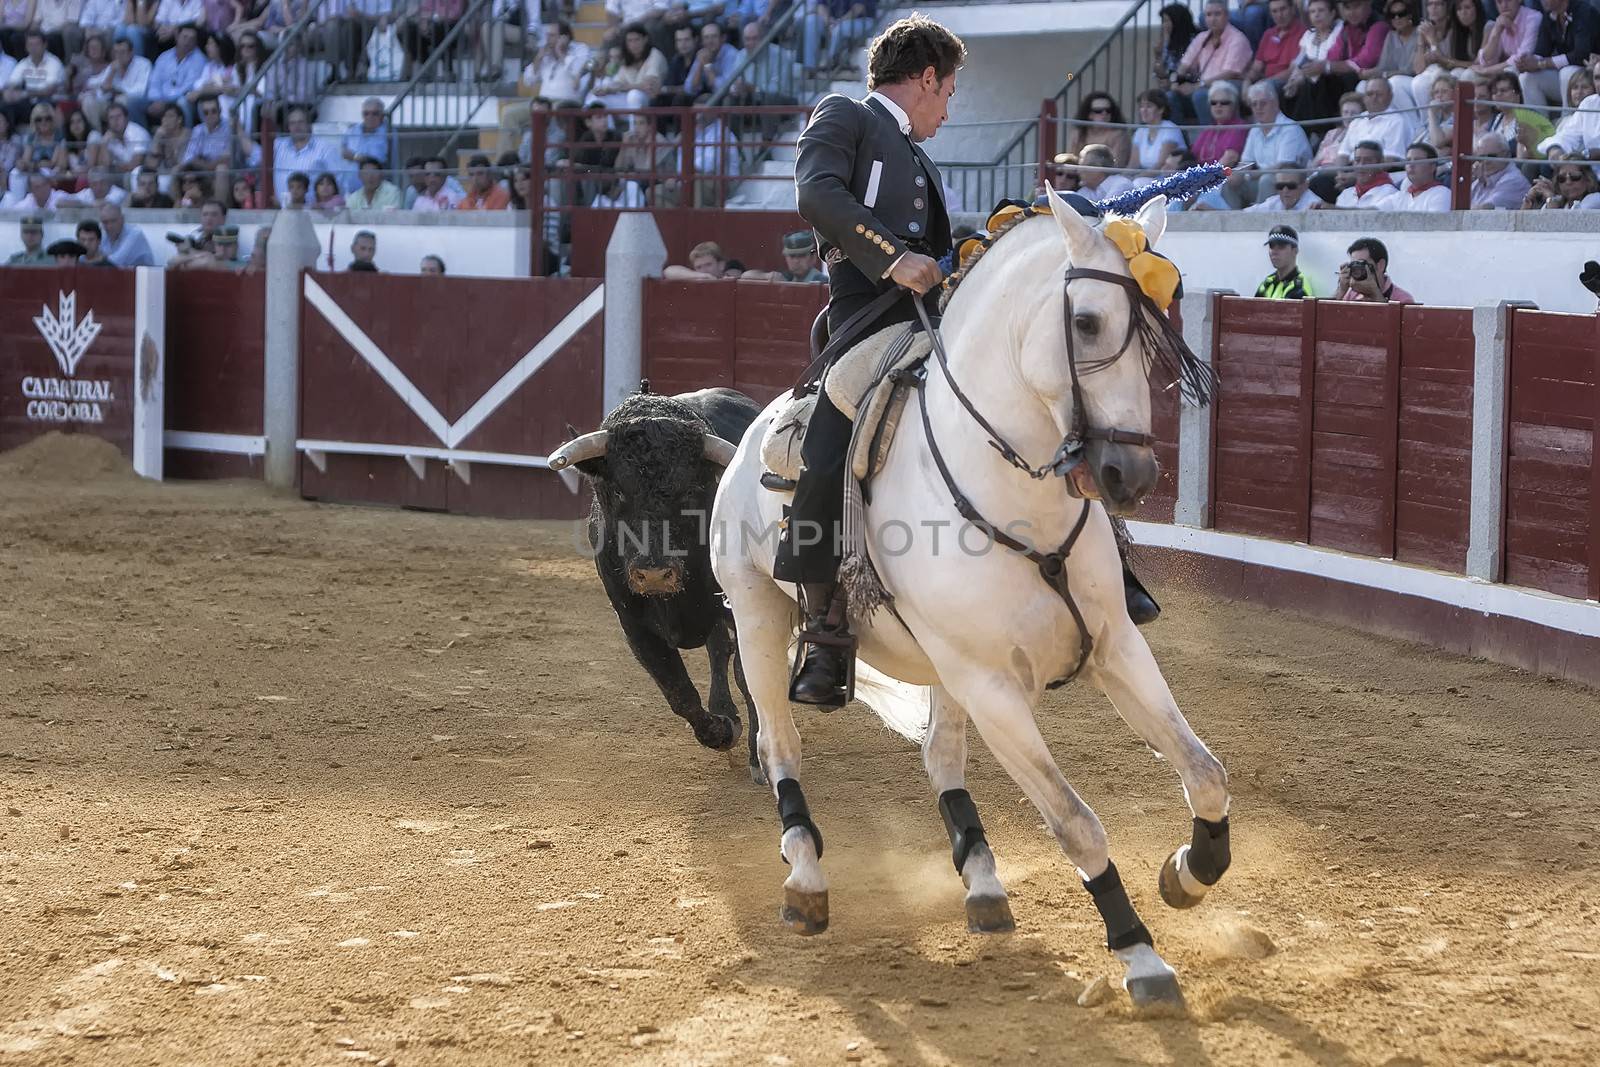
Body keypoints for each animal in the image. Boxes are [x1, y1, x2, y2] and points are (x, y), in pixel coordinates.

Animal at [553, 388, 764, 771]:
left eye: (690, 491)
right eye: (617, 492)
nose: (653, 573)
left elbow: (748, 674)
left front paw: (759, 754)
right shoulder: (634, 624)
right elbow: (678, 691)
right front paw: (721, 730)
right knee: (717, 650)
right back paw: (724, 711)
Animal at [713, 185, 1235, 1011]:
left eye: (1154, 337)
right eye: (1086, 322)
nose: (1132, 477)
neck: (1021, 499)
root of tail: (747, 437)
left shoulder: (1117, 644)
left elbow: (1205, 770)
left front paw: (1188, 873)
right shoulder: (992, 685)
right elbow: (1076, 821)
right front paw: (1139, 953)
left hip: (936, 665)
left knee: (940, 755)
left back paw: (984, 881)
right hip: (758, 614)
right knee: (779, 743)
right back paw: (806, 879)